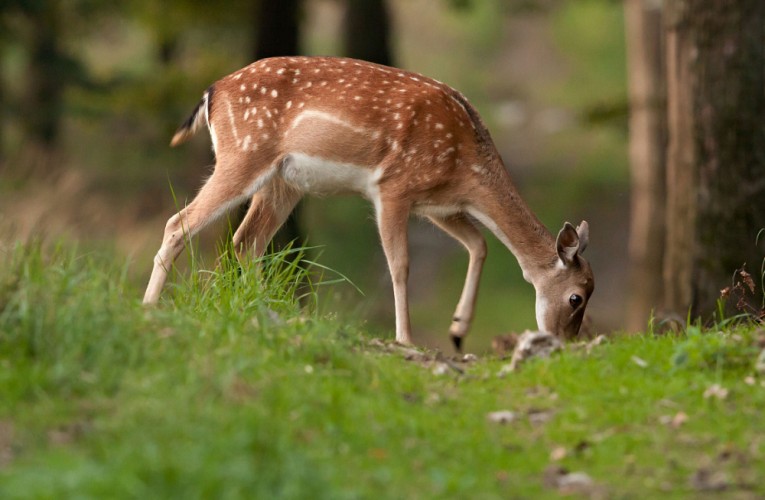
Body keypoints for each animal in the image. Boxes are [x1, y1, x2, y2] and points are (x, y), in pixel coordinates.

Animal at [145, 56, 596, 350]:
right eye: (576, 297)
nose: (564, 343)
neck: (465, 167)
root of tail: (212, 92)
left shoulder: (438, 205)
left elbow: (479, 244)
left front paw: (457, 329)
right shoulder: (394, 186)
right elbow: (400, 264)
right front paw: (406, 339)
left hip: (282, 182)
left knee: (246, 240)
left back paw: (264, 309)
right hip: (244, 152)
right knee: (178, 223)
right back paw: (149, 305)